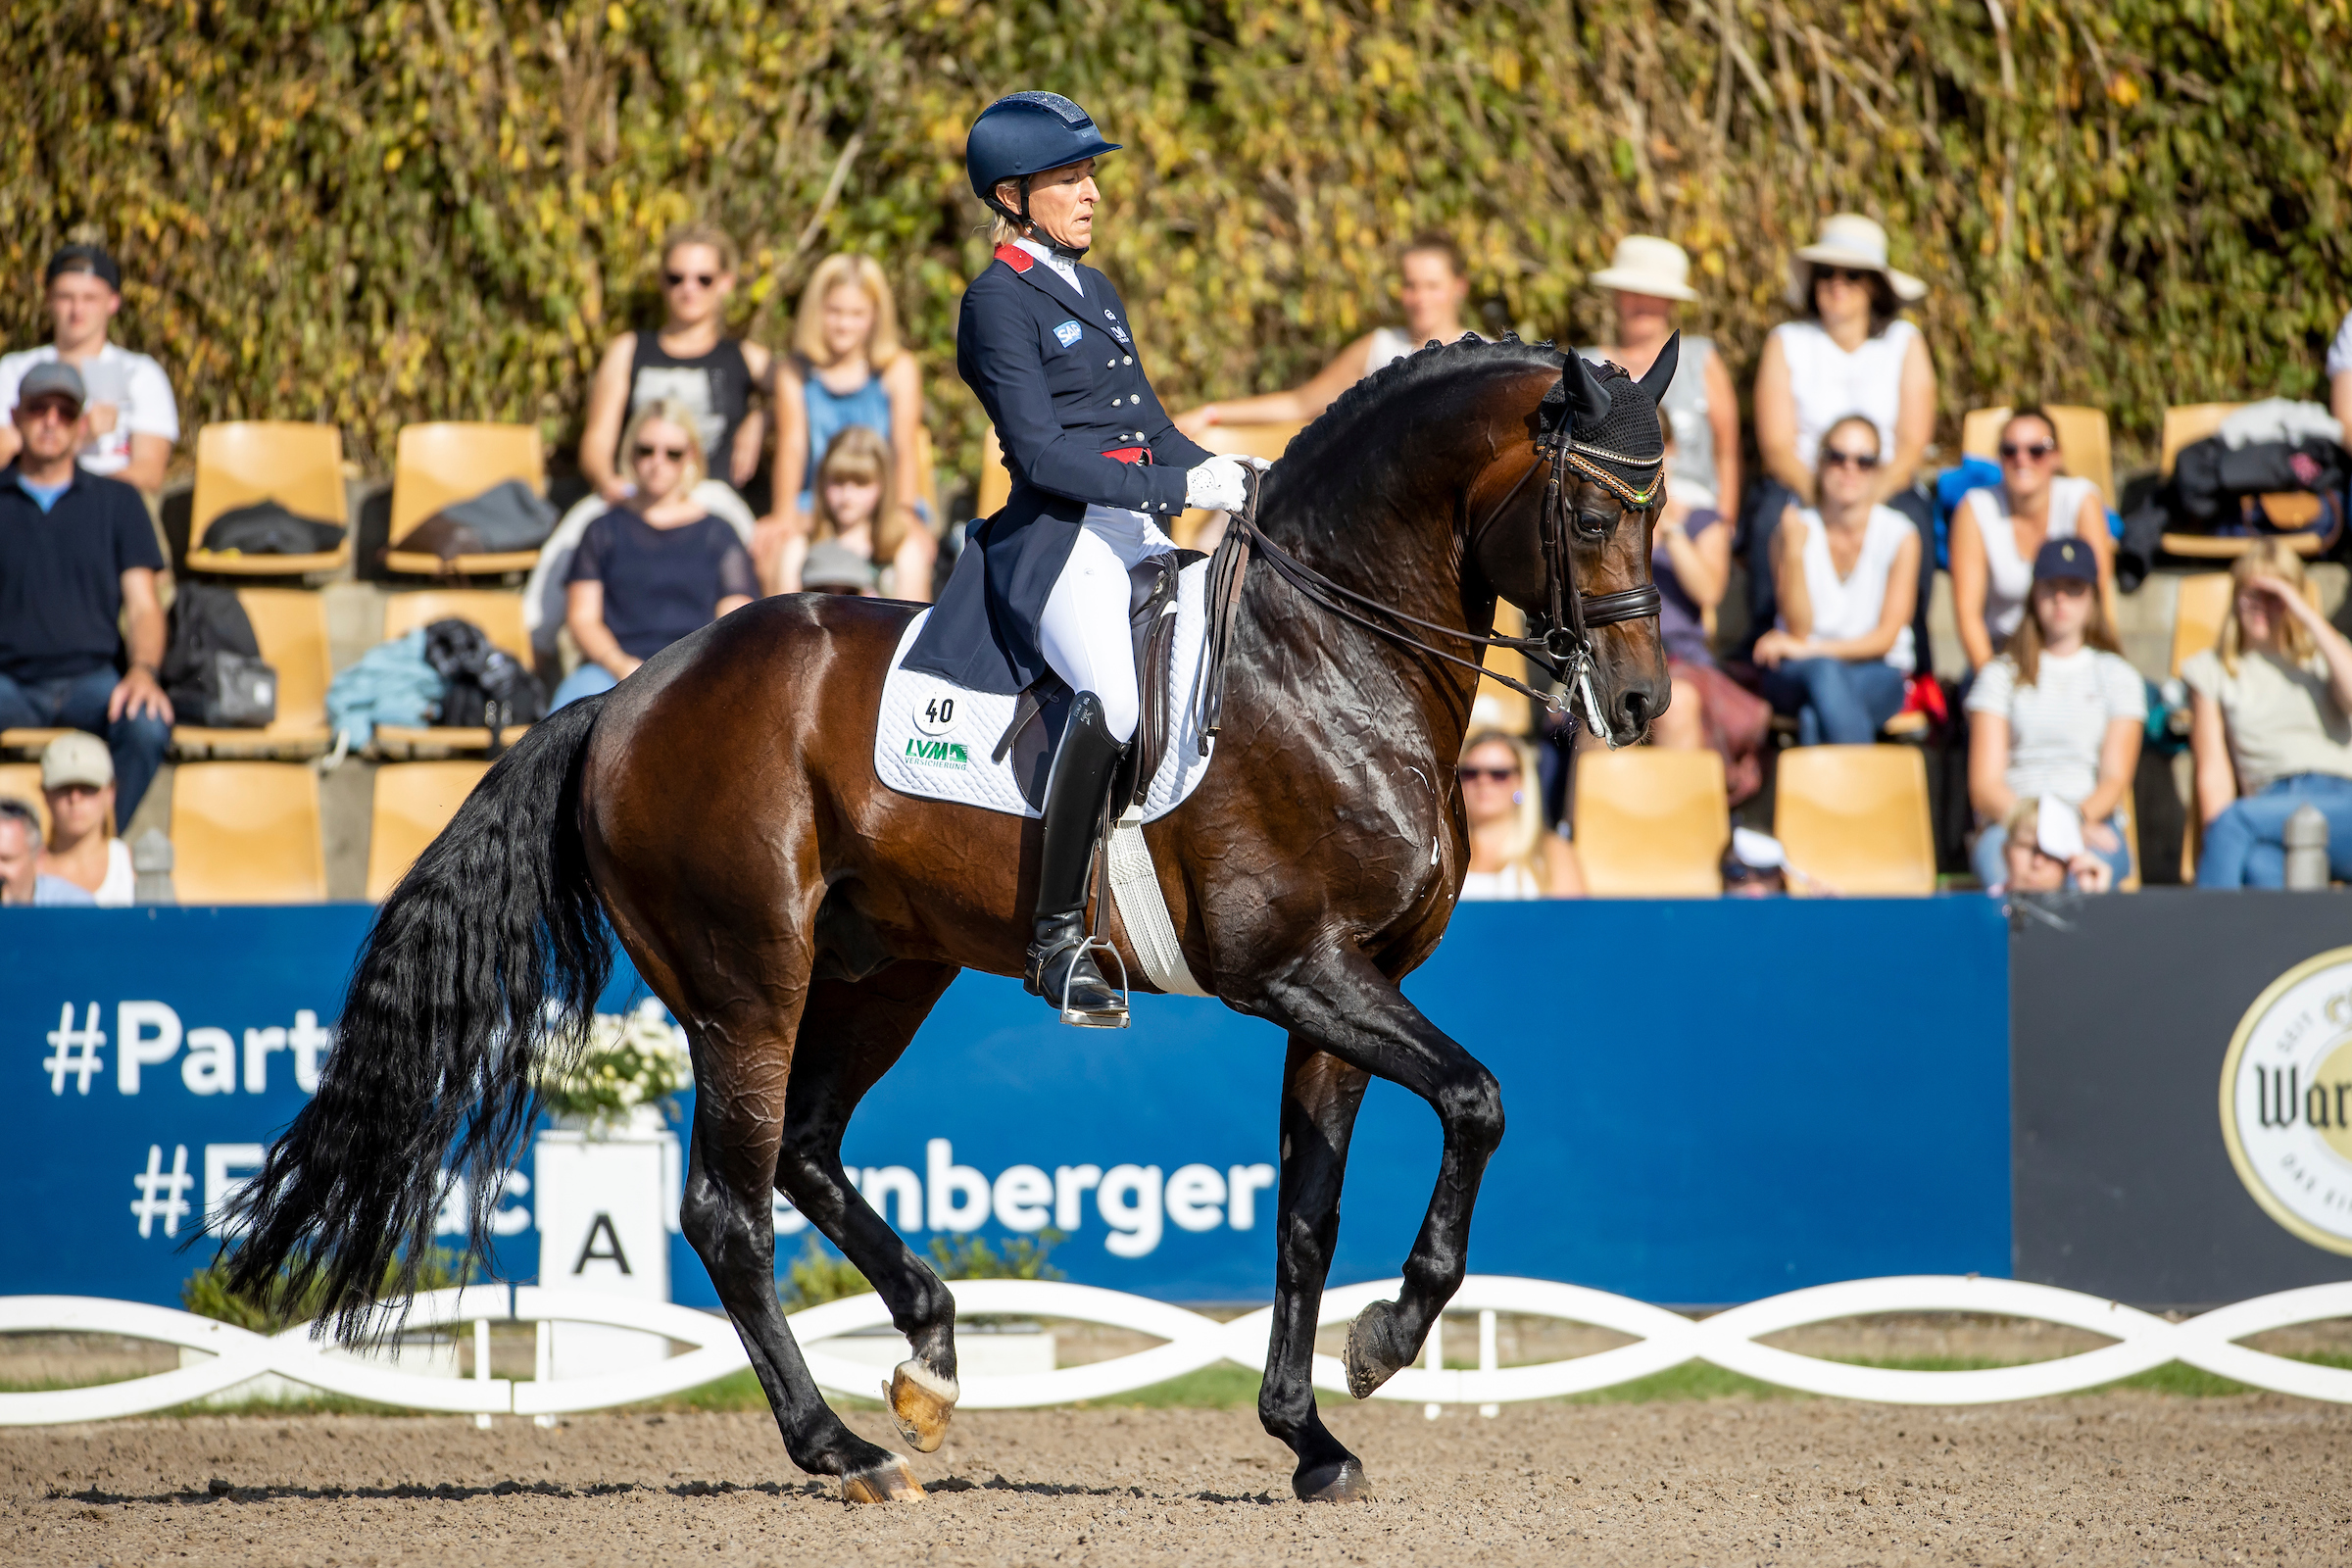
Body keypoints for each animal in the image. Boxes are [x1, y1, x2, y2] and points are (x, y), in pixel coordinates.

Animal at [224, 333, 1674, 1504]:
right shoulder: (1296, 971)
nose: (1645, 703)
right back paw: (844, 1450)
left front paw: (1310, 1436)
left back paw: (928, 1356)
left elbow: (1306, 1218)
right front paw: (1391, 1341)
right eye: (1592, 507)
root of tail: (622, 699)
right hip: (748, 985)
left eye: (1661, 513)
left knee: (807, 1151)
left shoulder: (1347, 986)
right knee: (729, 1208)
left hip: (881, 973)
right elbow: (1478, 1099)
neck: (1330, 659)